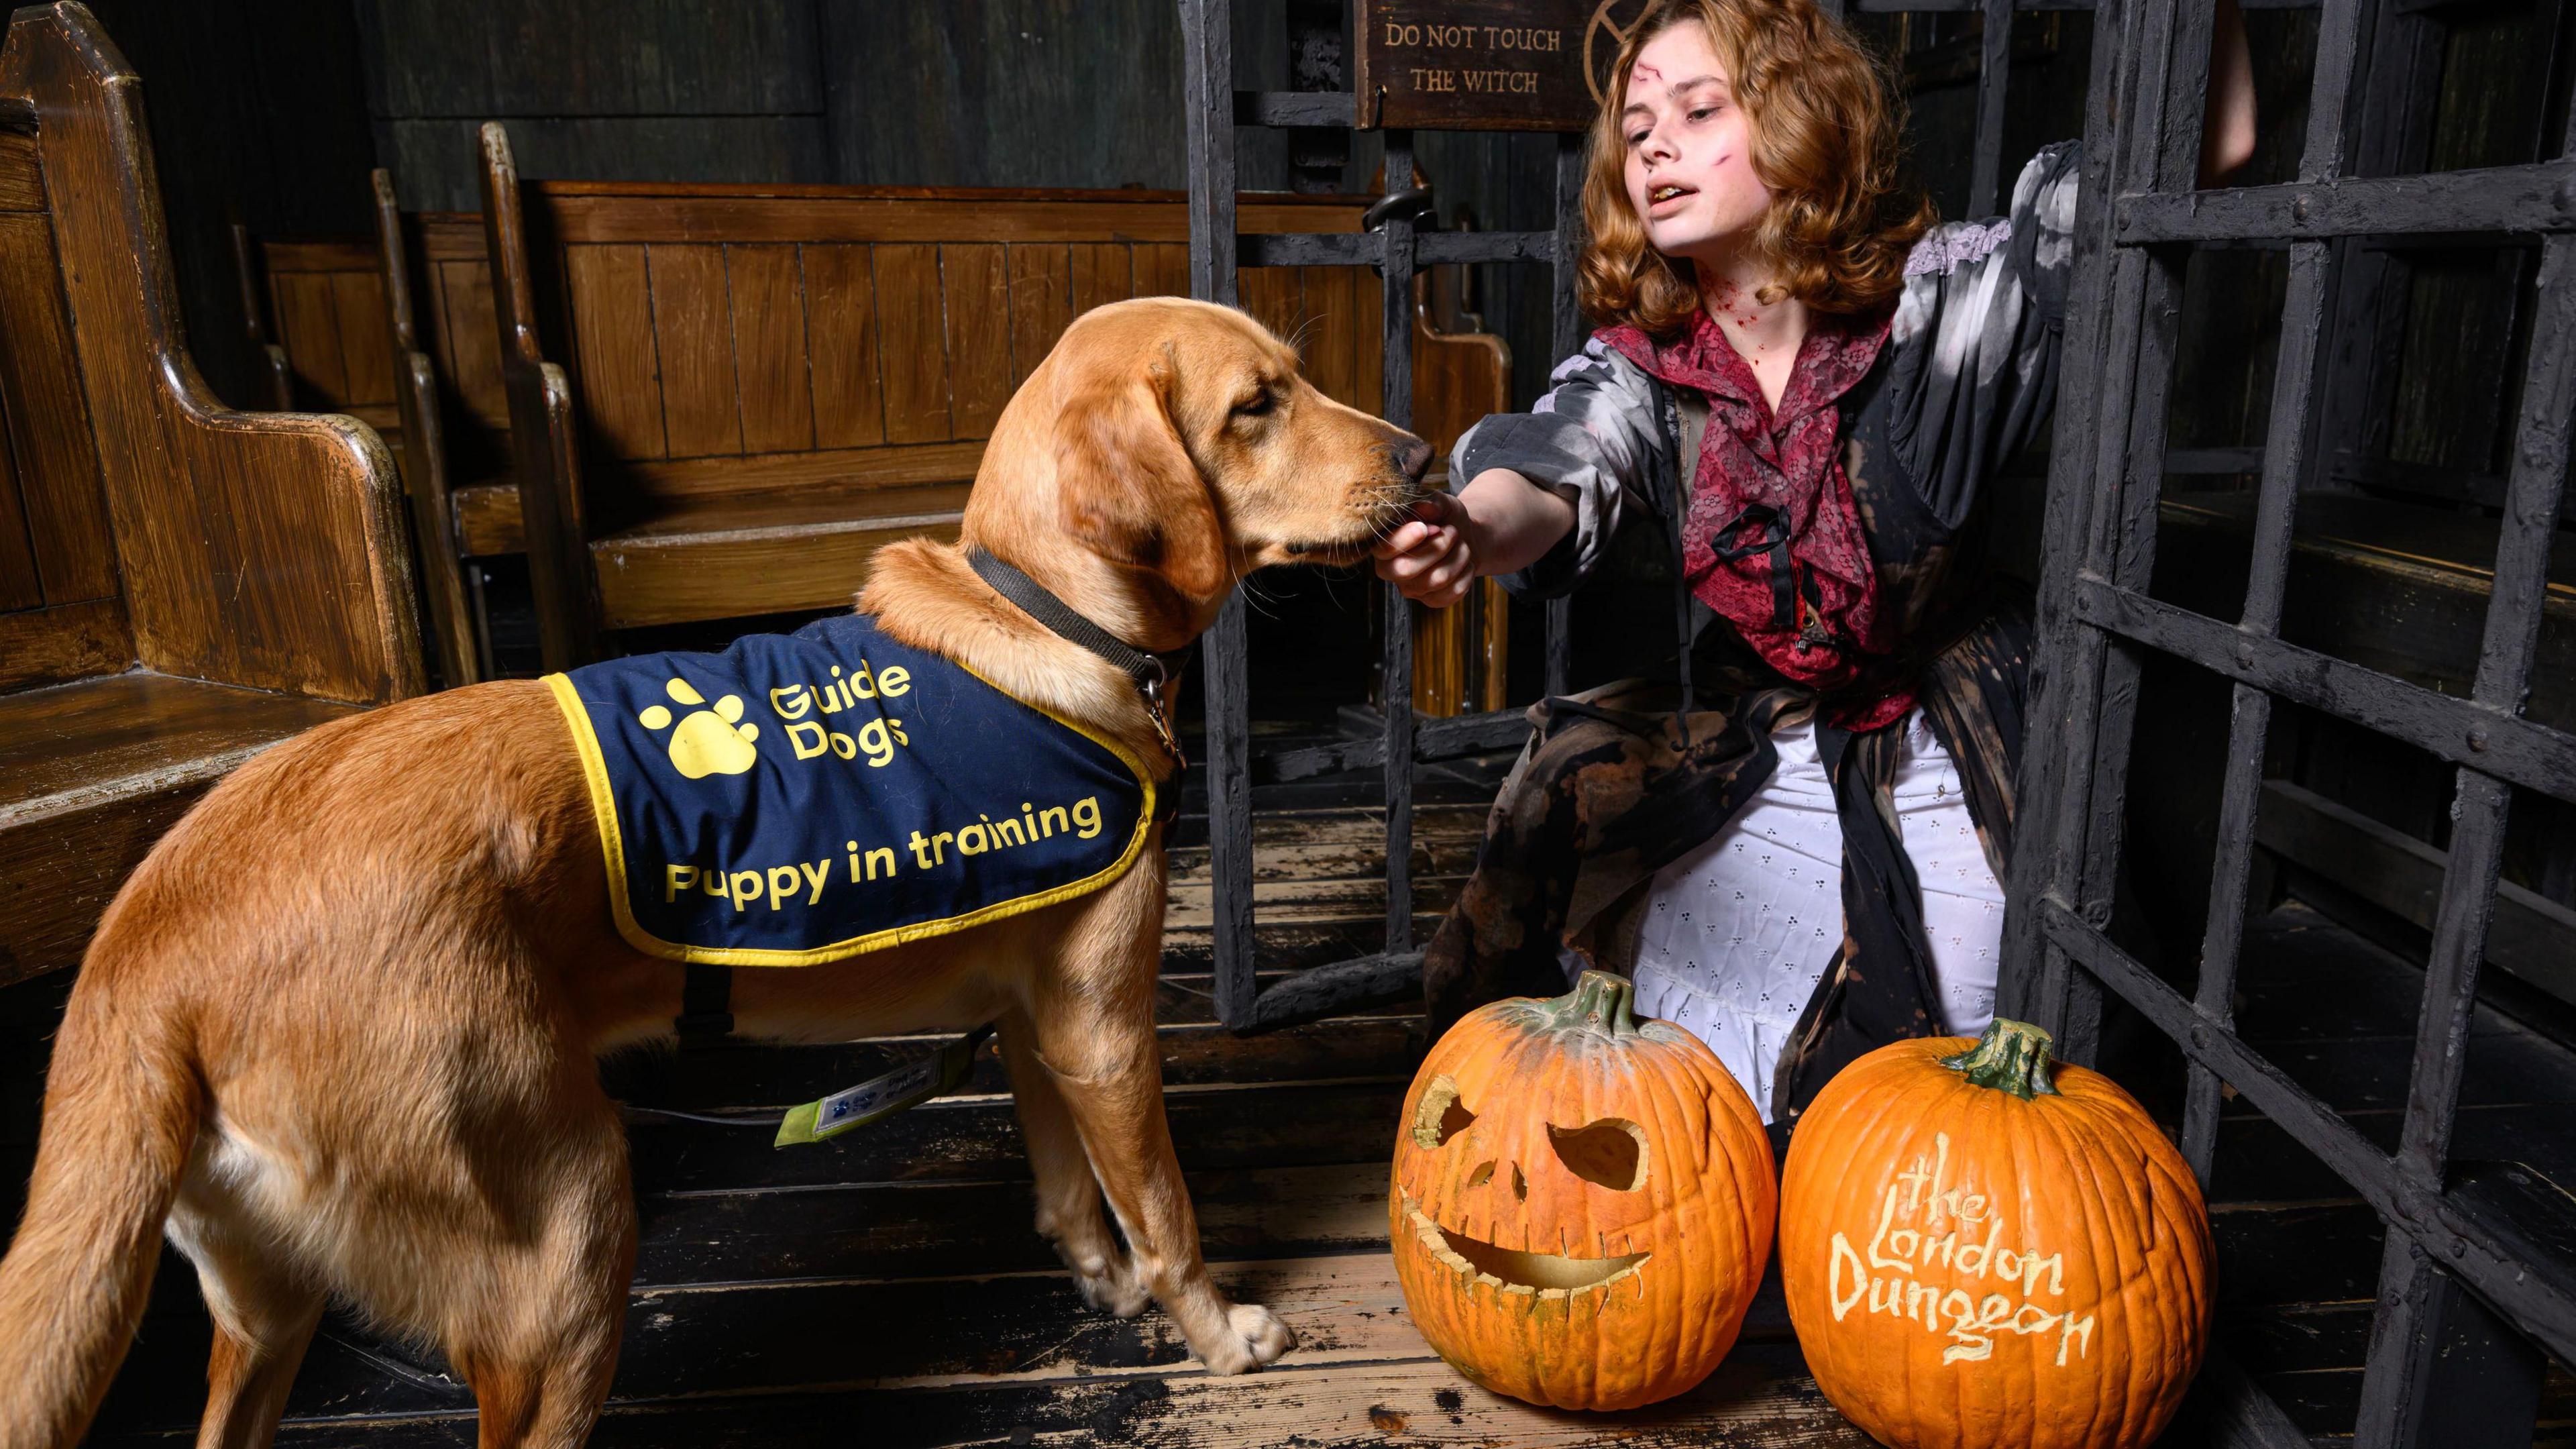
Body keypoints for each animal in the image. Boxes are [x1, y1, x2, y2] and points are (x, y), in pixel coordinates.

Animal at [0, 296, 1432, 1444]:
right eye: (1257, 406)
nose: (1425, 451)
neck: (1042, 612)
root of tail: (144, 943)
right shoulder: (1106, 1027)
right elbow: (1168, 1210)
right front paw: (1220, 1334)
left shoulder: (1037, 1017)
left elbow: (1073, 1188)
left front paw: (1104, 1281)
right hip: (567, 1244)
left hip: (270, 1308)